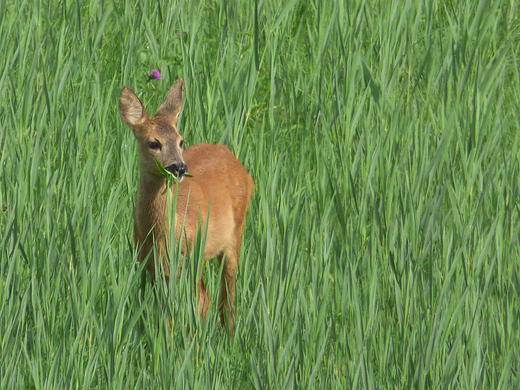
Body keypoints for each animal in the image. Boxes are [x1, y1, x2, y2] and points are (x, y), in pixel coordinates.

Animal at [118, 77, 256, 336]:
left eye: (181, 140)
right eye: (153, 143)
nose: (179, 167)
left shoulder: (193, 256)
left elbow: (200, 307)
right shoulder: (152, 266)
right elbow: (164, 316)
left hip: (234, 236)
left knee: (225, 297)